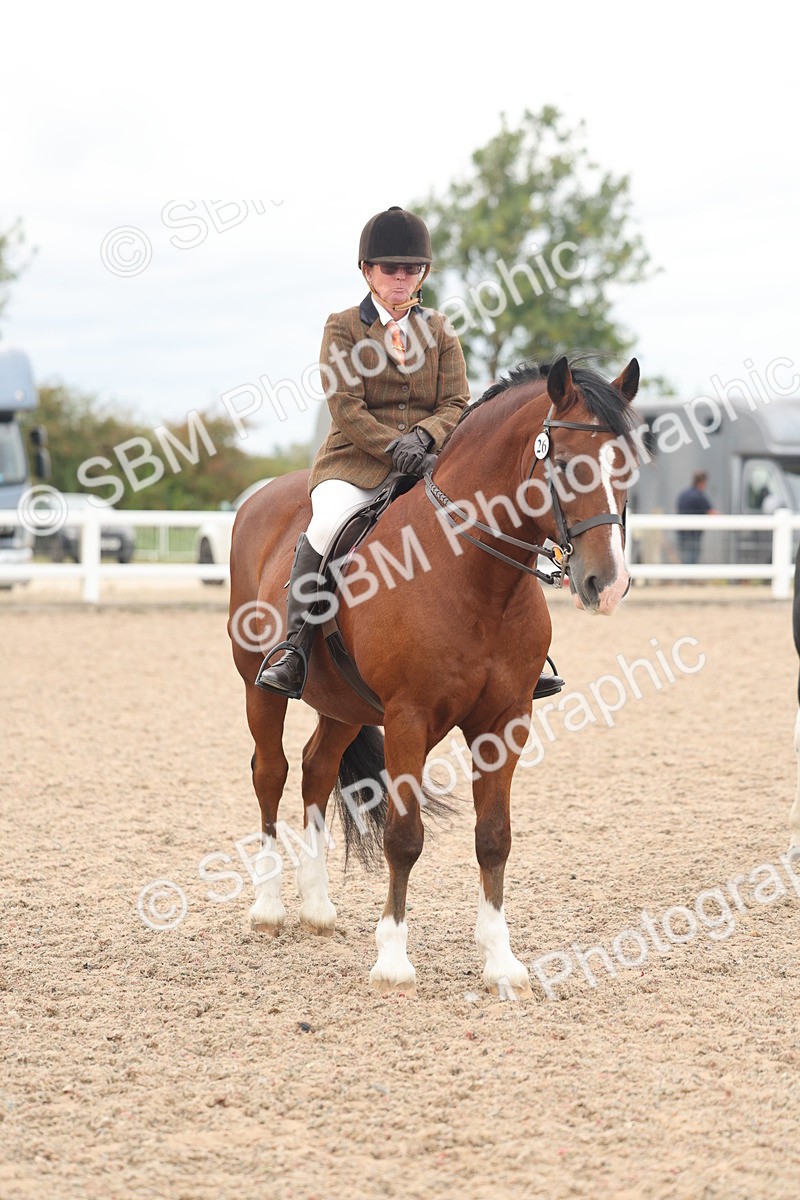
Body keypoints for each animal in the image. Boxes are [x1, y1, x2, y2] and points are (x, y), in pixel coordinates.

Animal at [228, 355, 640, 997]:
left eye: (627, 466)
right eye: (565, 463)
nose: (610, 584)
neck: (471, 573)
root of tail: (260, 497)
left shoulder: (505, 720)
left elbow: (494, 837)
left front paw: (501, 961)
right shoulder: (408, 719)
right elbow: (404, 837)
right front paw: (393, 962)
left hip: (343, 705)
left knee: (317, 771)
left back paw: (316, 906)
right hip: (259, 689)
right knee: (271, 774)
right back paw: (269, 907)